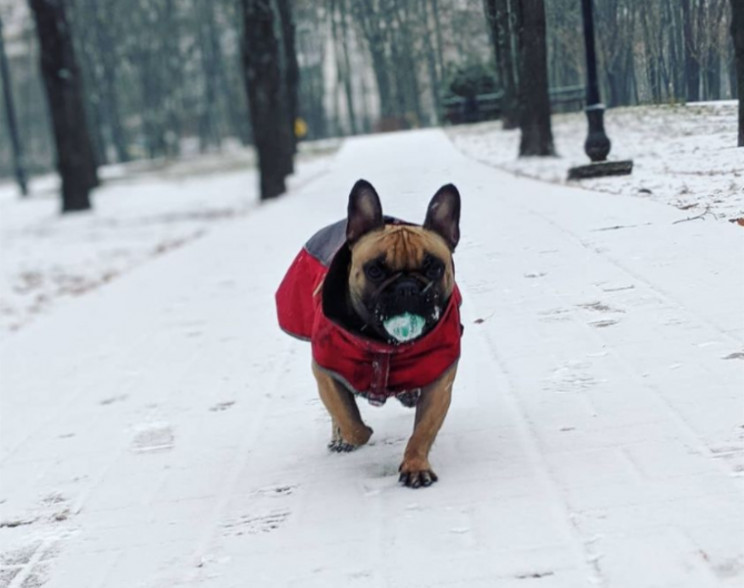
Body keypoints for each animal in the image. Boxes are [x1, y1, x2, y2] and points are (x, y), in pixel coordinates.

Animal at [276, 178, 462, 486]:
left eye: (434, 267)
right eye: (375, 270)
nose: (407, 288)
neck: (384, 343)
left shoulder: (439, 379)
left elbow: (423, 431)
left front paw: (416, 466)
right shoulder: (326, 371)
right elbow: (349, 420)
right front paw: (352, 434)